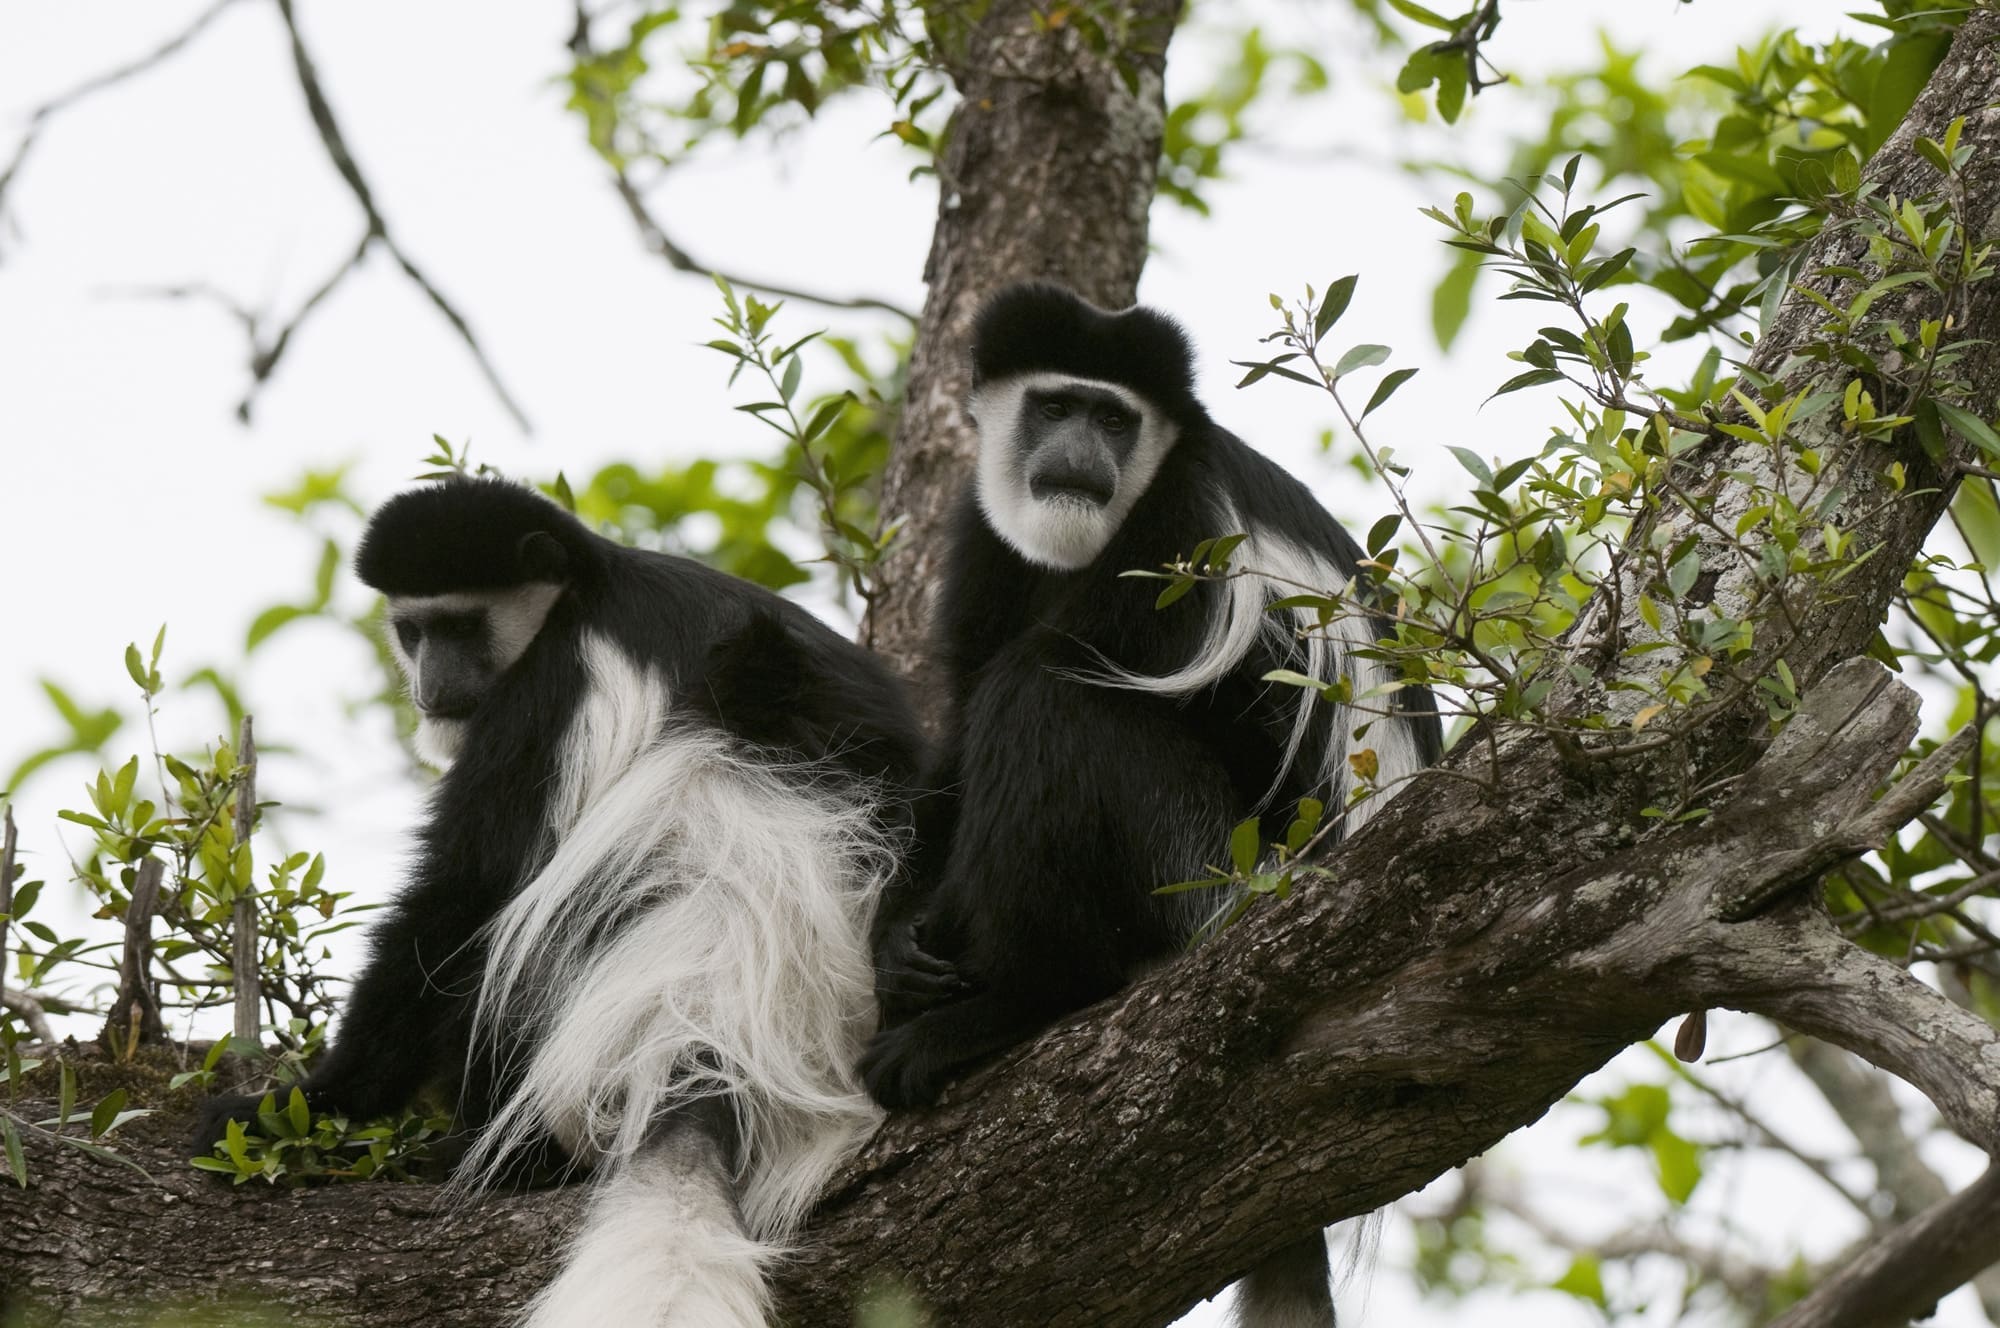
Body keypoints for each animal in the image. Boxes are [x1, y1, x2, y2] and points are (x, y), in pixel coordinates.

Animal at [196, 475, 923, 1328]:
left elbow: (456, 899)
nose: (432, 686)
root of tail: (713, 1007)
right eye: (413, 631)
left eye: (461, 626)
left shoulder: (545, 697)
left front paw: (307, 1103)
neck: (587, 587)